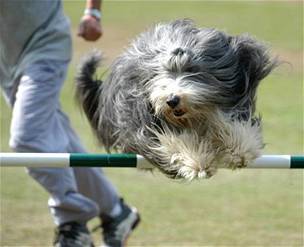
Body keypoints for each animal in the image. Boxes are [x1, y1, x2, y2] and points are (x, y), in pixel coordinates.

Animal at [75, 19, 276, 179]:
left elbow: (232, 125)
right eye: (160, 73)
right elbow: (173, 141)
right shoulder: (143, 120)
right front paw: (196, 161)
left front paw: (239, 151)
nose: (172, 100)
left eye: (192, 69)